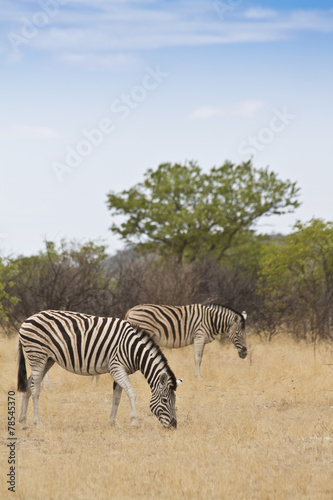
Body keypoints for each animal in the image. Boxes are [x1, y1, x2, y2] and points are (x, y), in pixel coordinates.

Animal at [16, 308, 183, 430]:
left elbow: (116, 398)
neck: (133, 349)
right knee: (35, 389)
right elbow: (132, 393)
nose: (174, 426)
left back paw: (24, 423)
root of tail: (26, 321)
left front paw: (113, 423)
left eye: (175, 400)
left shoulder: (120, 370)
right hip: (37, 355)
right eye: (164, 400)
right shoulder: (117, 367)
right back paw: (38, 423)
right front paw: (134, 421)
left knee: (29, 385)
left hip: (47, 359)